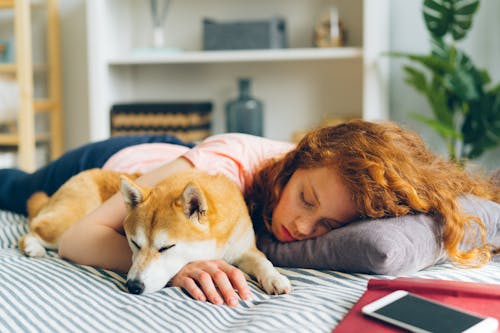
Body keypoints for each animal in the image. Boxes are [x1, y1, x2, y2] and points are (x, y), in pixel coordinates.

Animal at [20, 167, 292, 294]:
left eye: (166, 247)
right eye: (134, 243)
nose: (133, 287)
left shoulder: (245, 249)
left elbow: (263, 262)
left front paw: (275, 278)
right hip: (66, 224)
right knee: (33, 229)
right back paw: (32, 246)